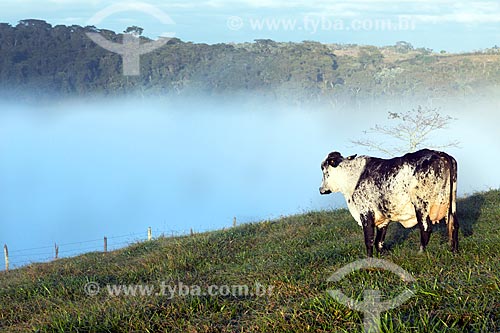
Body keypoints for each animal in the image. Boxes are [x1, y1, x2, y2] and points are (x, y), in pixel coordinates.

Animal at [320, 148, 458, 256]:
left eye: (324, 170)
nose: (321, 189)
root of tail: (439, 153)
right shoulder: (383, 219)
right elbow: (379, 242)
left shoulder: (365, 213)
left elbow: (369, 240)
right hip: (451, 203)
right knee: (453, 225)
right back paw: (453, 251)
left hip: (421, 204)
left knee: (426, 228)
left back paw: (420, 252)